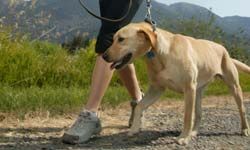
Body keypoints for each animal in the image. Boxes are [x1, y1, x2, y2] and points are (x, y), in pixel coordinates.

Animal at [101, 22, 250, 144]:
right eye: (113, 39)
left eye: (121, 39)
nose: (104, 56)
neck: (161, 53)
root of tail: (224, 49)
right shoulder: (157, 88)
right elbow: (139, 106)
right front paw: (134, 128)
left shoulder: (189, 89)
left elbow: (187, 117)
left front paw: (184, 137)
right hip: (198, 92)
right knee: (199, 114)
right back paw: (194, 132)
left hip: (233, 87)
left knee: (242, 109)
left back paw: (245, 129)